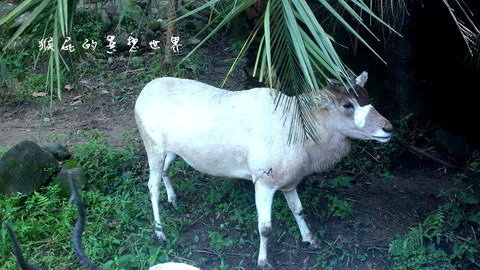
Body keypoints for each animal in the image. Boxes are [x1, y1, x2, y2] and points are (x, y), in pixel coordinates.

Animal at [133, 72, 392, 270]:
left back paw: (173, 199)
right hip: (153, 146)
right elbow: (265, 228)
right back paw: (160, 233)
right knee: (152, 186)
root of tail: (145, 91)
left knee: (166, 170)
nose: (388, 128)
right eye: (347, 104)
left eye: (367, 97)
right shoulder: (263, 182)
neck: (296, 126)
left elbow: (298, 209)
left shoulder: (289, 181)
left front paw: (310, 239)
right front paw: (263, 261)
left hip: (171, 150)